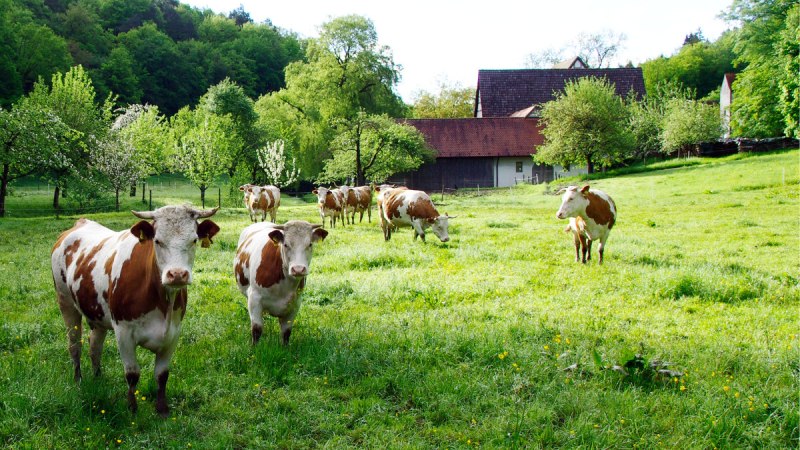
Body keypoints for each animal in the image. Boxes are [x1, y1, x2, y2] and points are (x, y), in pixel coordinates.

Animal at [51, 205, 220, 416]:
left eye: (194, 240)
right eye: (157, 241)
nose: (177, 275)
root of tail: (80, 223)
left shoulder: (173, 333)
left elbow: (162, 375)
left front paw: (162, 409)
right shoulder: (123, 333)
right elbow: (132, 374)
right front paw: (132, 409)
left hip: (97, 315)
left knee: (94, 346)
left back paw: (98, 379)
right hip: (65, 302)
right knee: (74, 345)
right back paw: (78, 381)